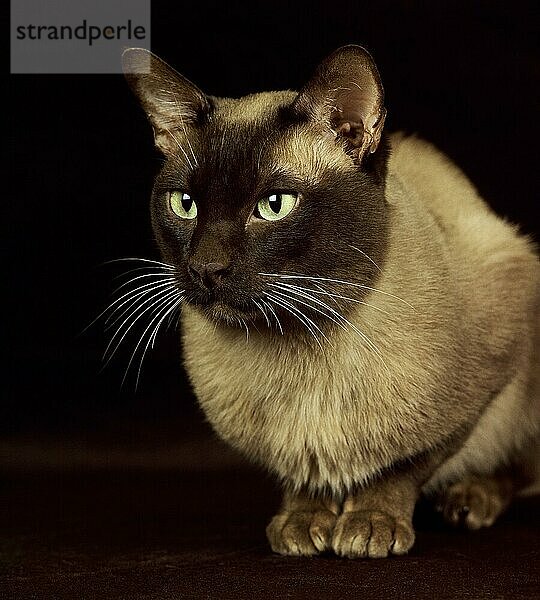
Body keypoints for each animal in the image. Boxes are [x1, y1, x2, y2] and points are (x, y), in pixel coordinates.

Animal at [121, 45, 540, 556]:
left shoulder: (484, 378)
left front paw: (370, 523)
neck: (301, 340)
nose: (206, 268)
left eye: (274, 205)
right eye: (185, 204)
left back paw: (468, 501)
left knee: (519, 467)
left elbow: (403, 466)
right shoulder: (290, 453)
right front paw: (302, 523)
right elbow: (304, 477)